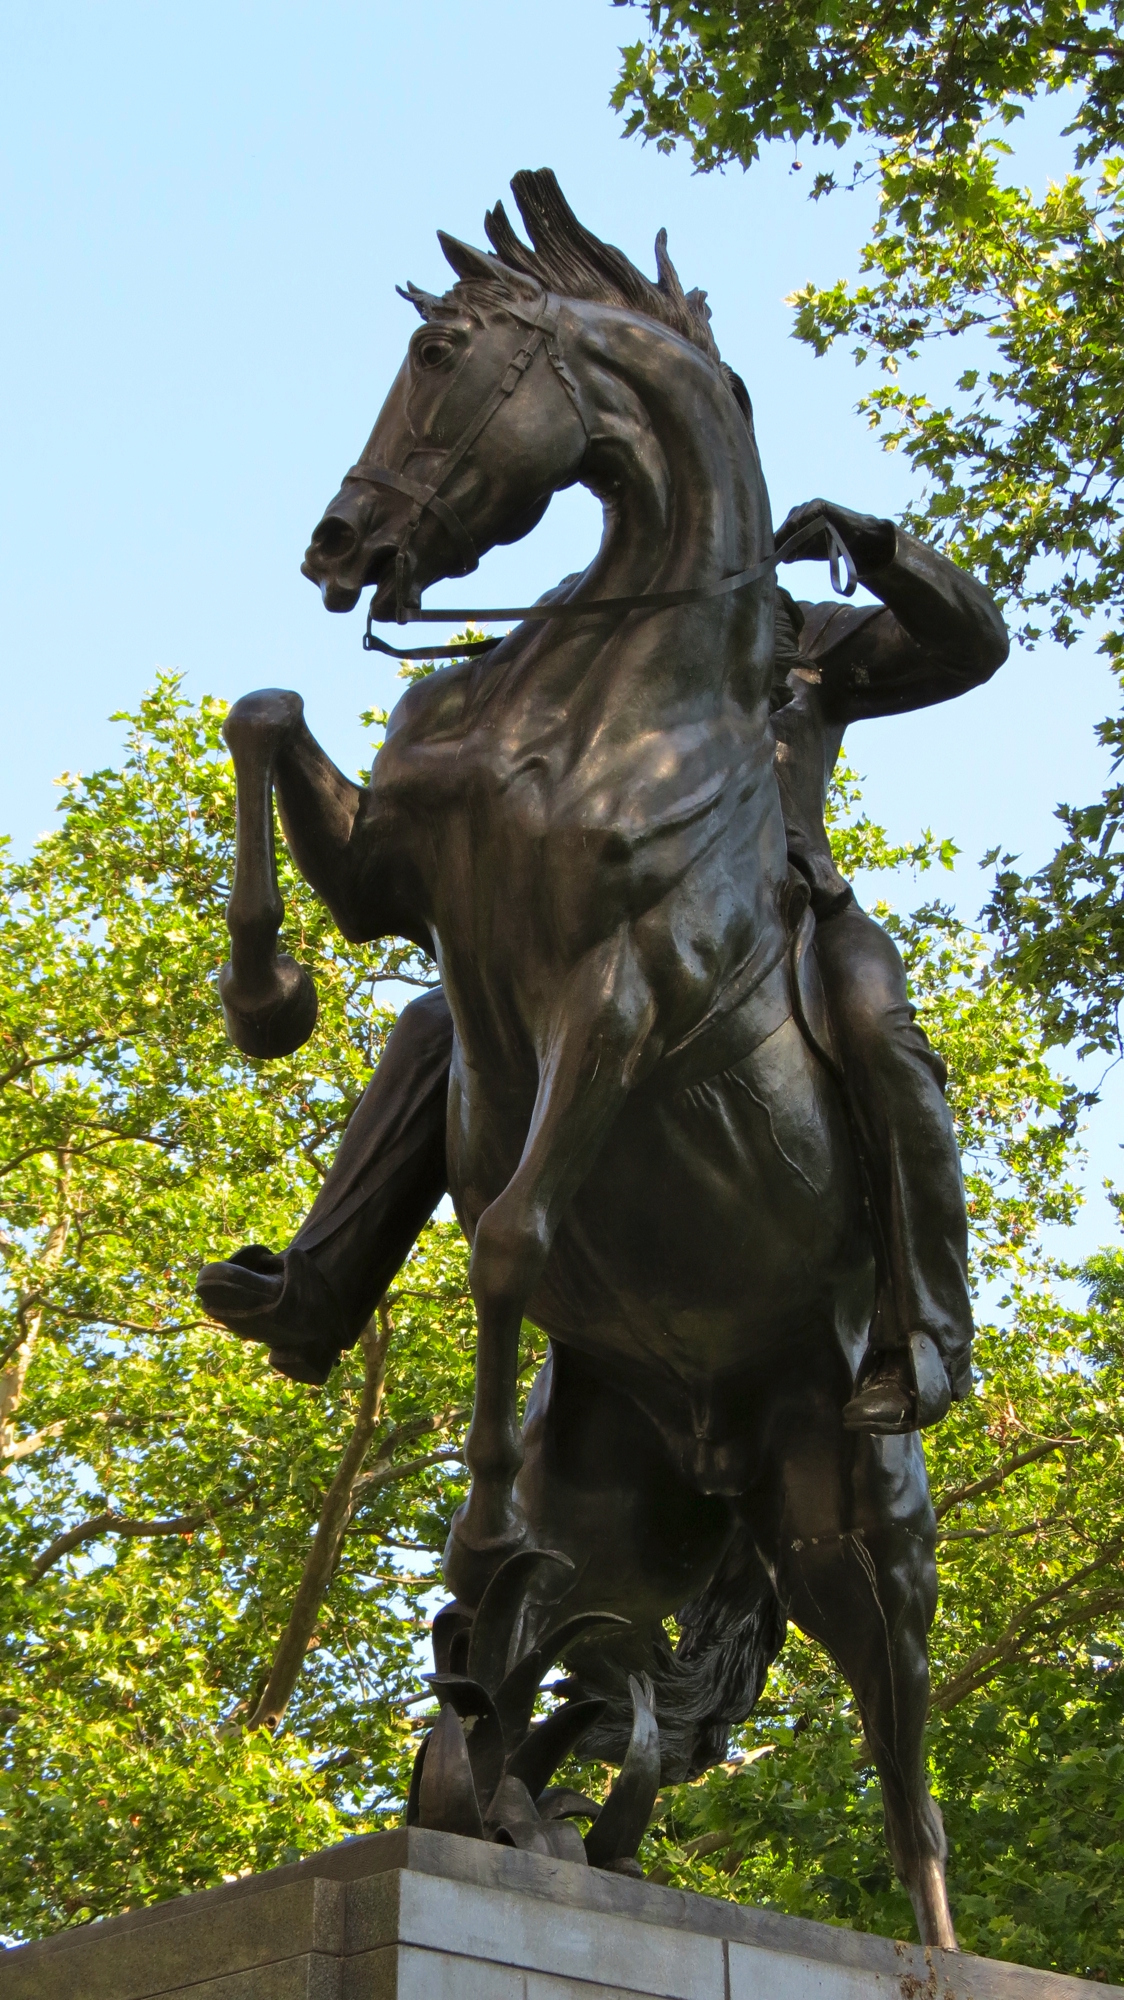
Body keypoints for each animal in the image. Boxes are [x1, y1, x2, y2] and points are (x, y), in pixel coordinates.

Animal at [217, 180, 952, 1944]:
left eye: (436, 357)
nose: (339, 546)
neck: (613, 694)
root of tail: (728, 1440)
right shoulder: (402, 892)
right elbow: (266, 711)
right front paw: (266, 993)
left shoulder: (618, 1003)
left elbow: (509, 1240)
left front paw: (479, 1528)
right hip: (655, 1539)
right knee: (542, 1717)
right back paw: (509, 1783)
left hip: (865, 1535)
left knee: (906, 1776)